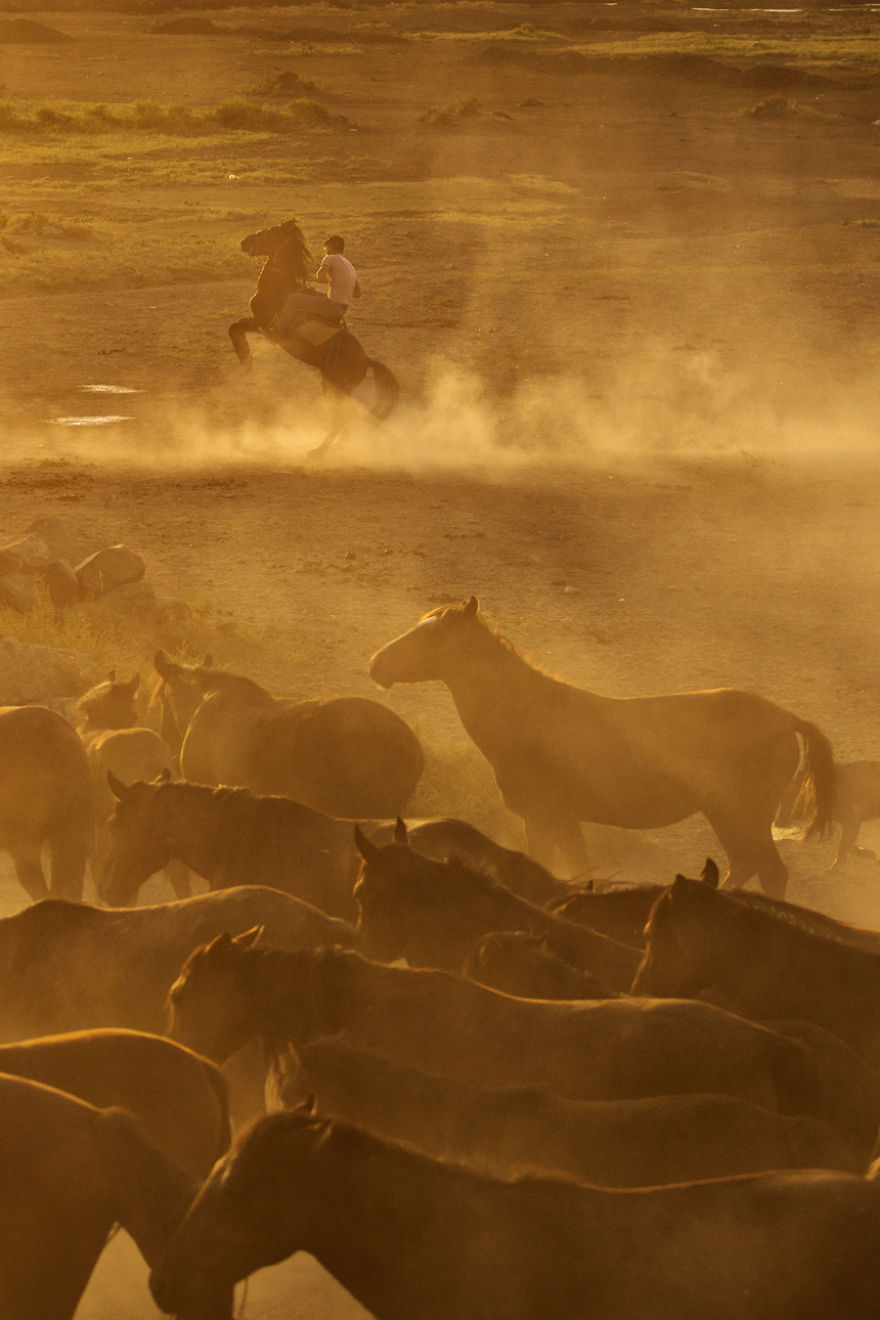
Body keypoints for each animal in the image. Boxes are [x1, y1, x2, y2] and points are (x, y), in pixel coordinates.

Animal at [228, 219, 399, 458]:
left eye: (270, 232)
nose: (245, 242)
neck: (281, 285)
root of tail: (366, 361)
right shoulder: (256, 321)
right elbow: (236, 327)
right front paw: (245, 355)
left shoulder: (262, 321)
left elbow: (234, 328)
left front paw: (245, 357)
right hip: (336, 389)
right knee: (349, 420)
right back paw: (335, 448)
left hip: (333, 388)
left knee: (342, 419)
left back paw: (319, 451)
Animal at [368, 596, 835, 895]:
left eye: (432, 637)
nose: (375, 663)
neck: (529, 716)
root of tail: (783, 718)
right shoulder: (550, 820)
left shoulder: (551, 817)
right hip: (726, 816)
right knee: (747, 867)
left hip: (742, 816)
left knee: (771, 874)